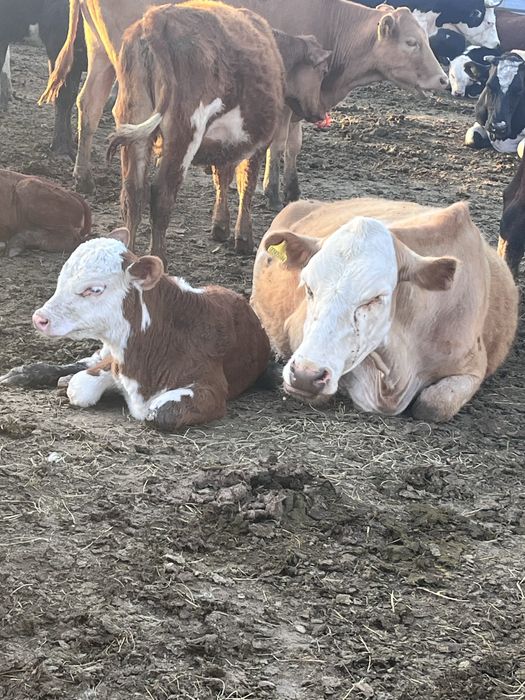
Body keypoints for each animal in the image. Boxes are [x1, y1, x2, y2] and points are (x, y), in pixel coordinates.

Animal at [29, 229, 271, 432]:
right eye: (61, 278)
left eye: (95, 289)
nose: (40, 318)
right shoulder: (116, 362)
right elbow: (79, 387)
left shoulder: (211, 388)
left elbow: (159, 413)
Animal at [40, 0, 447, 205]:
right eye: (412, 42)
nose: (444, 80)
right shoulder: (285, 99)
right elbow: (278, 143)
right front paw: (272, 190)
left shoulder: (301, 100)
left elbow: (294, 144)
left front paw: (291, 189)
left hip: (101, 54)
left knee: (90, 104)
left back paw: (83, 177)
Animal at [106, 2, 331, 261]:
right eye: (323, 72)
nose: (320, 112)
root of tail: (157, 18)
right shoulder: (258, 142)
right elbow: (246, 184)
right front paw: (243, 238)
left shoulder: (226, 143)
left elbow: (222, 177)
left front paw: (220, 227)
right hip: (185, 134)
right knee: (161, 194)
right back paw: (158, 259)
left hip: (134, 122)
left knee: (133, 193)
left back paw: (130, 256)